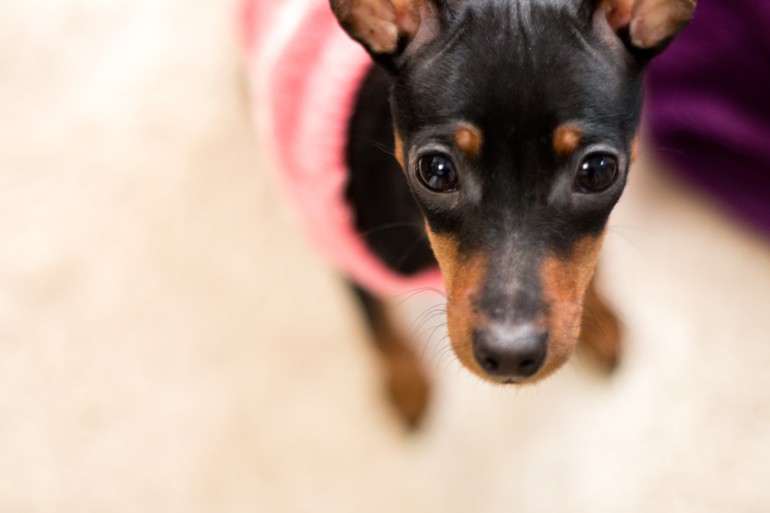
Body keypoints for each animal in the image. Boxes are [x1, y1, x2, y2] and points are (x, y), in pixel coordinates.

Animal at [243, 0, 692, 424]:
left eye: (598, 171)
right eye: (436, 171)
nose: (510, 355)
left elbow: (590, 265)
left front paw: (599, 316)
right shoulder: (344, 250)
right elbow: (378, 327)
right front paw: (405, 381)